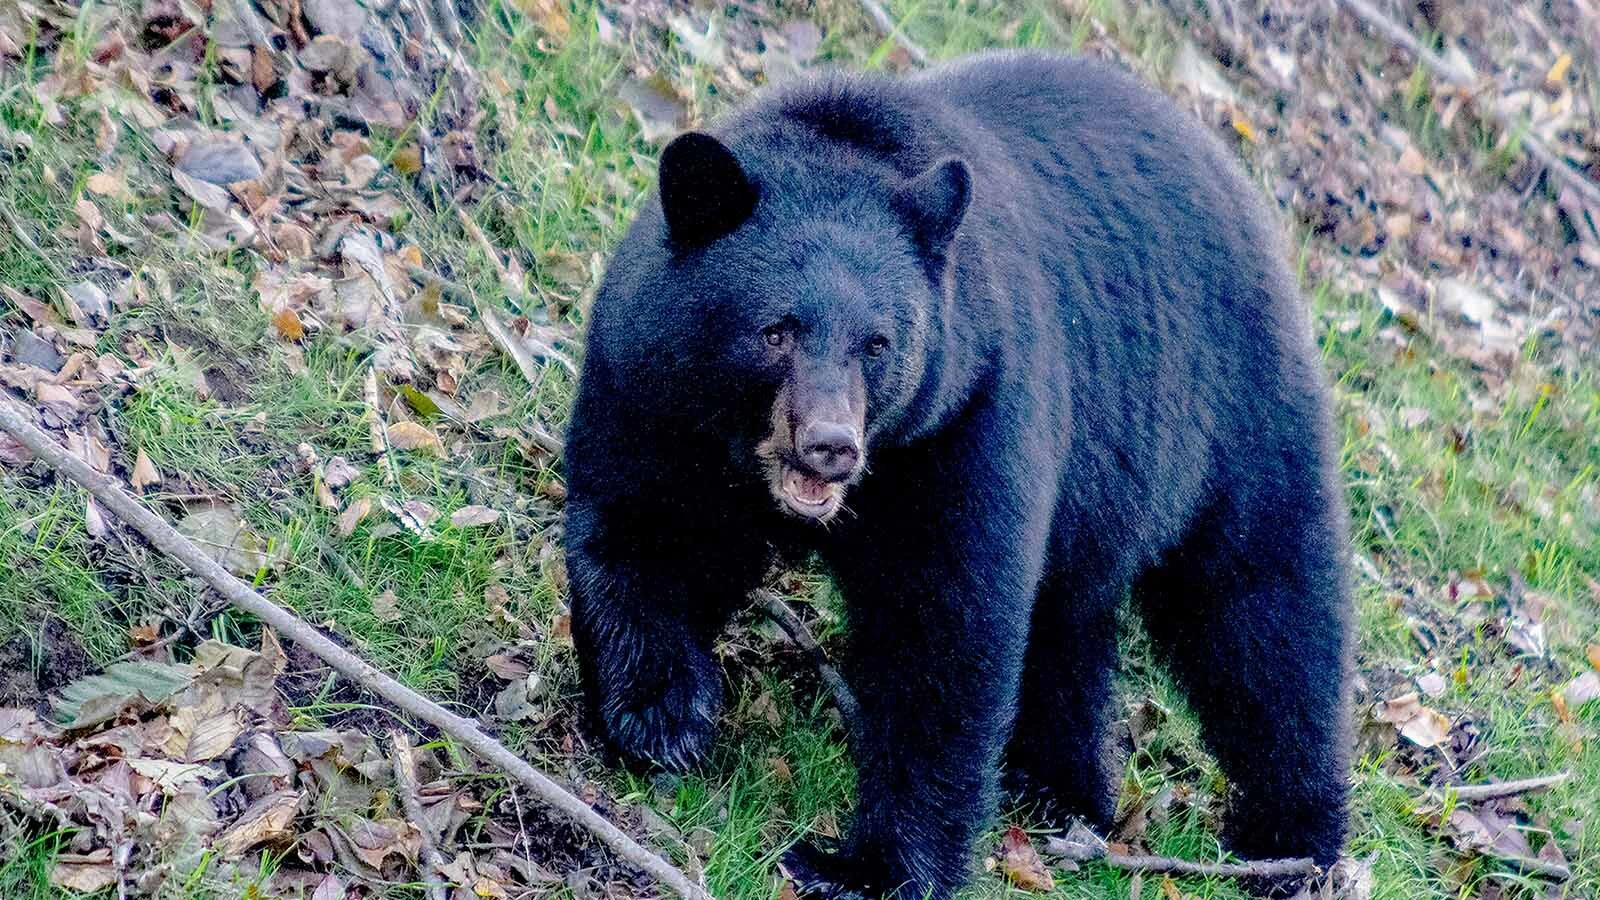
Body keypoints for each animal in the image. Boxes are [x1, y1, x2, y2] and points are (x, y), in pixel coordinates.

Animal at [563, 50, 1352, 900]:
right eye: (775, 331)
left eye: (878, 343)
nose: (831, 446)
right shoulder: (652, 388)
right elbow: (645, 527)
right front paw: (661, 716)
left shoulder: (967, 416)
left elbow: (944, 632)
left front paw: (864, 868)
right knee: (1071, 620)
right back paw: (1055, 785)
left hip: (1234, 420)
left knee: (1265, 619)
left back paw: (1292, 843)